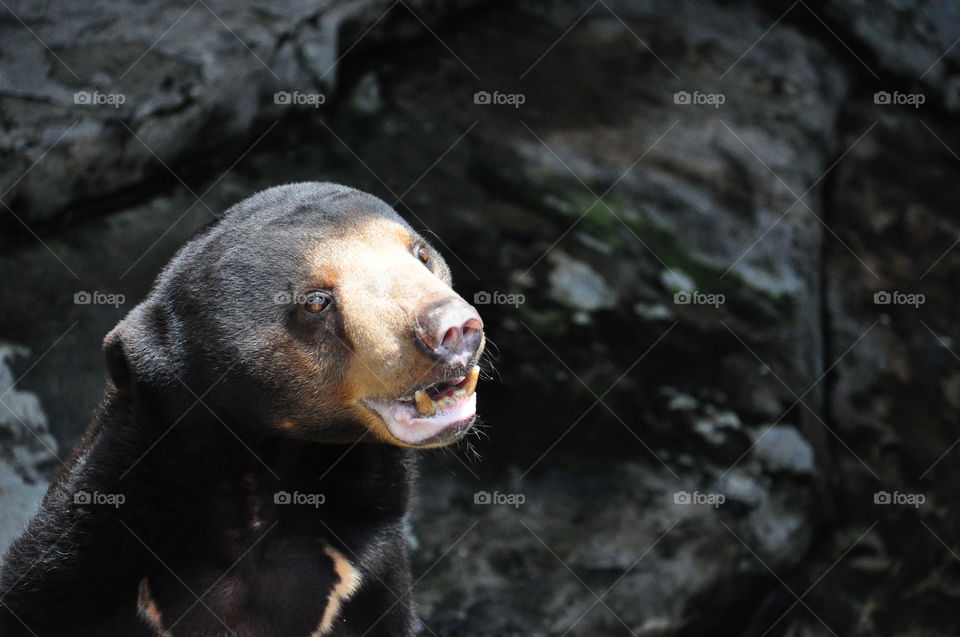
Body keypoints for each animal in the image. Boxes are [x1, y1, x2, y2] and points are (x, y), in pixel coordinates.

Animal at [0, 182, 485, 636]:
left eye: (421, 254)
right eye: (316, 301)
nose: (453, 328)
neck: (254, 507)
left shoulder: (370, 574)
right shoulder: (73, 576)